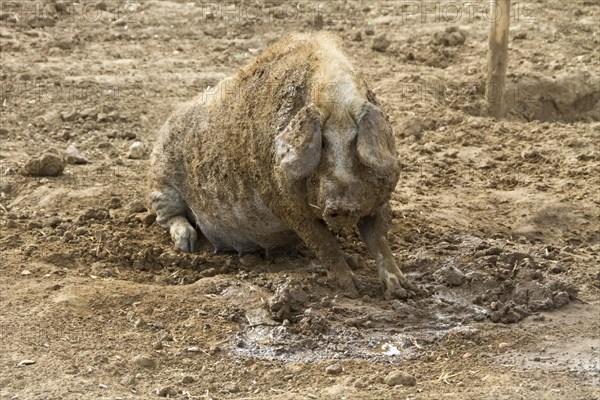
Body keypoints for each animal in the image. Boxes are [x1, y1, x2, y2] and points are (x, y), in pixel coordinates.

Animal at [148, 32, 420, 298]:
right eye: (322, 144)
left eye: (355, 142)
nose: (340, 207)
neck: (334, 97)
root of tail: (164, 125)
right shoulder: (286, 206)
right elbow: (325, 245)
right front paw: (352, 289)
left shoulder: (381, 198)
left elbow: (380, 239)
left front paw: (404, 290)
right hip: (161, 182)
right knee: (168, 216)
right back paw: (188, 245)